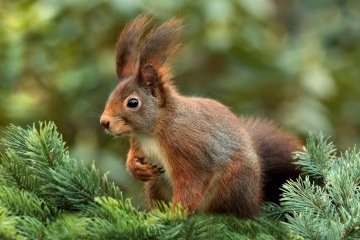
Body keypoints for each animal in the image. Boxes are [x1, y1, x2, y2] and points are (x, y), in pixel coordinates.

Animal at [100, 14, 302, 218]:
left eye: (133, 103)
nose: (104, 122)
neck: (153, 131)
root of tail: (255, 197)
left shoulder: (187, 149)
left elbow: (191, 183)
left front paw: (174, 214)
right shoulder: (138, 143)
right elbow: (133, 156)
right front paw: (135, 167)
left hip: (232, 184)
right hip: (156, 185)